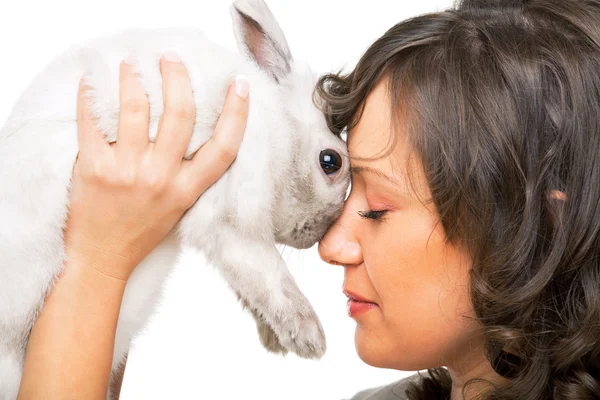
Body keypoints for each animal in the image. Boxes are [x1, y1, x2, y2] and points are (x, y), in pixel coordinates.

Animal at [0, 0, 350, 396]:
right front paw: (310, 338)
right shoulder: (232, 216)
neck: (282, 127)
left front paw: (273, 338)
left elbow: (248, 285)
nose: (318, 234)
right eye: (331, 161)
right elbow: (271, 275)